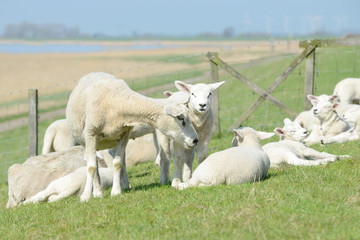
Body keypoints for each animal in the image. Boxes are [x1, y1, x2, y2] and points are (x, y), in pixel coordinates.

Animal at [66, 72, 198, 202]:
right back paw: (98, 191)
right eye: (181, 119)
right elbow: (91, 167)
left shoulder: (124, 135)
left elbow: (118, 163)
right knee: (93, 163)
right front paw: (86, 196)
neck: (117, 101)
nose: (195, 140)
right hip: (86, 141)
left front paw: (116, 191)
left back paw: (121, 185)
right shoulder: (90, 134)